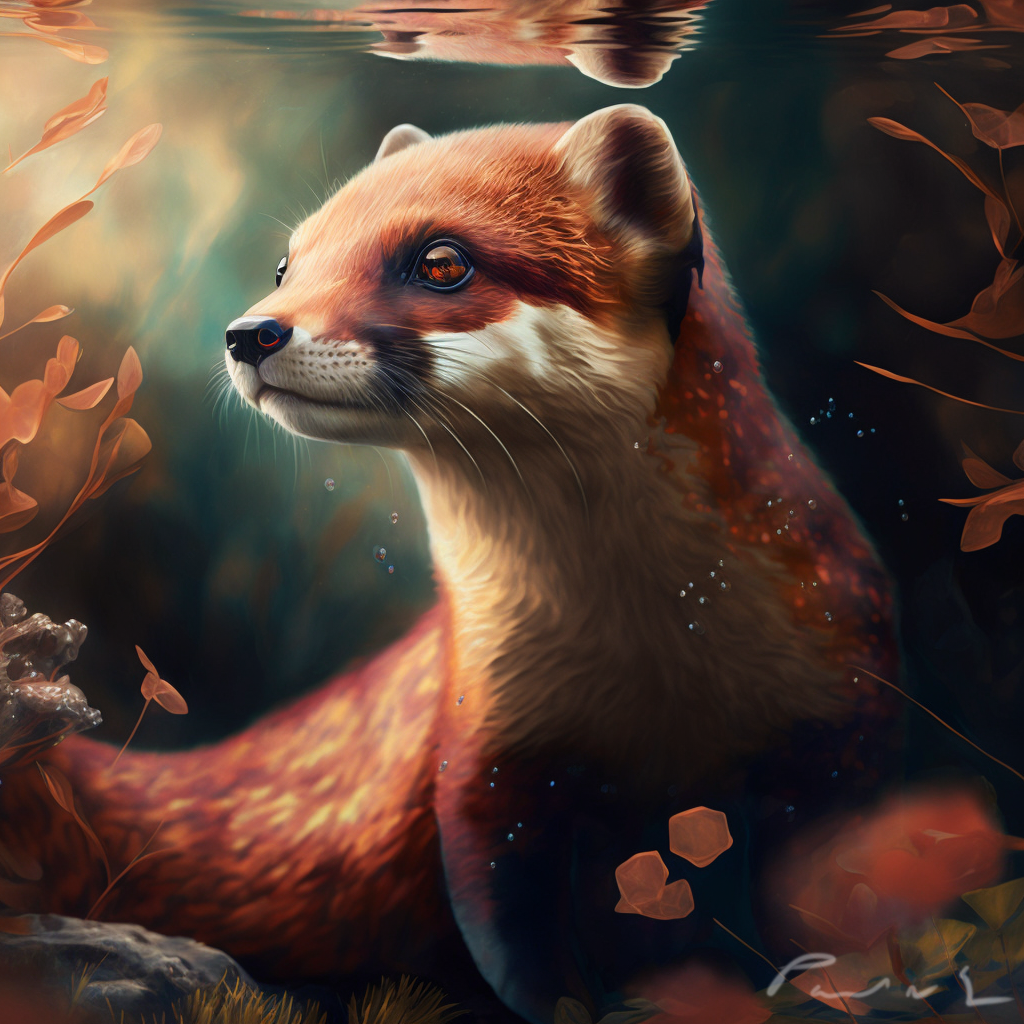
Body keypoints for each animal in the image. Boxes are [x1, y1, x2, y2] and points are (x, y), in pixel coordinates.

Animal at [0, 105, 898, 1024]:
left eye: (441, 260)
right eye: (288, 260)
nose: (250, 331)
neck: (658, 658)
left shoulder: (848, 695)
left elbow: (833, 892)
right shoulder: (481, 737)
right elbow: (513, 934)